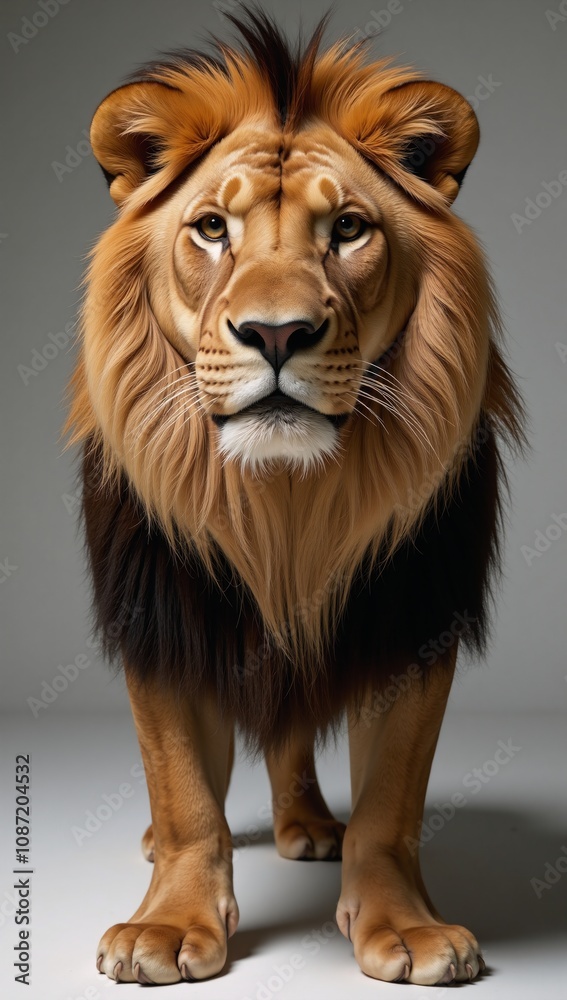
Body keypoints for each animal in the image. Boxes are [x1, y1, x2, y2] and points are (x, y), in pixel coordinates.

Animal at [66, 7, 524, 987]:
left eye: (347, 228)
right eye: (210, 228)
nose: (276, 333)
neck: (284, 510)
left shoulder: (411, 616)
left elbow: (391, 800)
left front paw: (406, 929)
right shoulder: (160, 611)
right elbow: (183, 785)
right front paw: (166, 925)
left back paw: (310, 825)